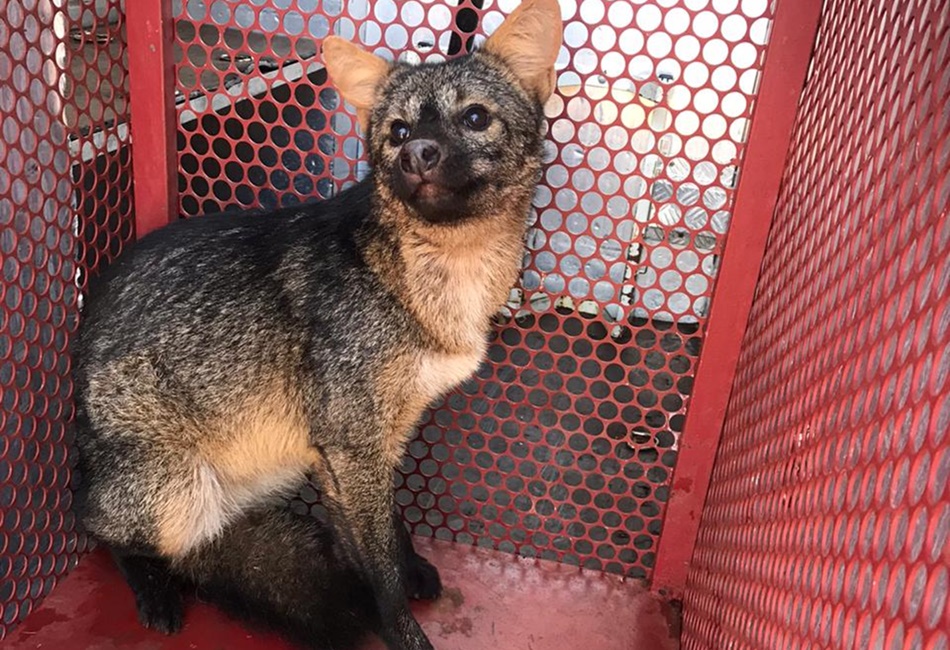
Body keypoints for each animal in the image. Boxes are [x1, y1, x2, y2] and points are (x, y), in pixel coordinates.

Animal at [71, 1, 563, 649]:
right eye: (398, 132)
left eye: (475, 117)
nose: (418, 154)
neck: (434, 280)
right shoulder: (349, 443)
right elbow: (377, 573)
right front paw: (404, 631)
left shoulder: (371, 439)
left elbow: (392, 526)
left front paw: (413, 567)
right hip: (177, 494)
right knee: (100, 527)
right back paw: (153, 590)